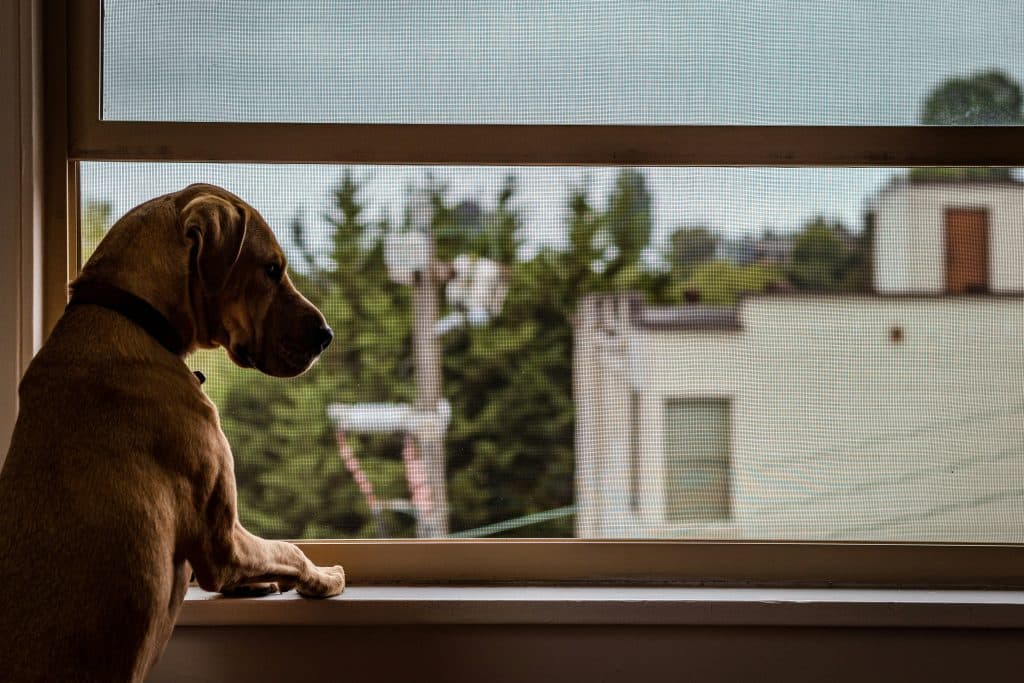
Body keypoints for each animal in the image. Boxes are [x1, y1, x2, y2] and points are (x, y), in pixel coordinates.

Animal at [0, 184, 348, 679]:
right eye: (271, 269)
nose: (326, 335)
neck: (138, 320)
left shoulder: (223, 549)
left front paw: (261, 583)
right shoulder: (223, 540)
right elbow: (290, 549)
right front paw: (325, 577)